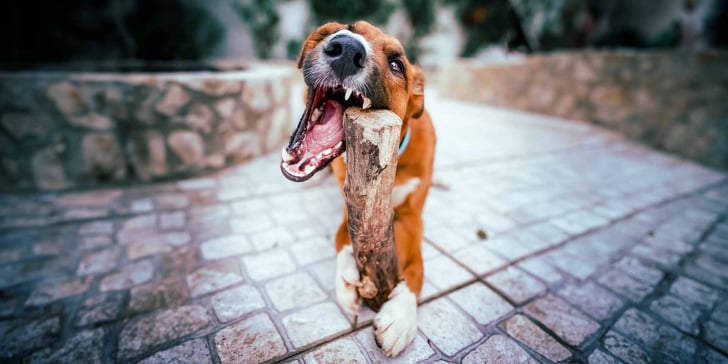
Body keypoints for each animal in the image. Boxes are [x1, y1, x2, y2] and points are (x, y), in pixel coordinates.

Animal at [280, 21, 436, 356]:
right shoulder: (352, 201)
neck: (393, 158)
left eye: (397, 64)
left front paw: (402, 314)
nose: (346, 49)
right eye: (350, 29)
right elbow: (341, 236)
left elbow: (417, 266)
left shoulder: (412, 217)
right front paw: (345, 280)